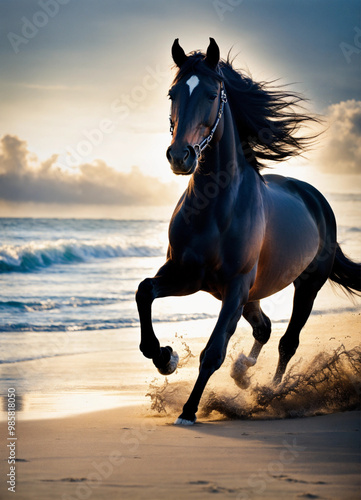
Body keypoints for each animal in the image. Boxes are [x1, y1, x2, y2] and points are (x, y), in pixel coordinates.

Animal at [136, 37, 360, 424]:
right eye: (172, 93)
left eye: (212, 94)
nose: (180, 156)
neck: (214, 209)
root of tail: (315, 198)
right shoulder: (185, 275)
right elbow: (144, 291)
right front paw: (166, 357)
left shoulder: (235, 285)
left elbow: (213, 351)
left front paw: (188, 412)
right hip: (251, 292)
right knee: (264, 326)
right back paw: (243, 373)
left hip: (305, 285)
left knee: (287, 341)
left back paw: (271, 393)